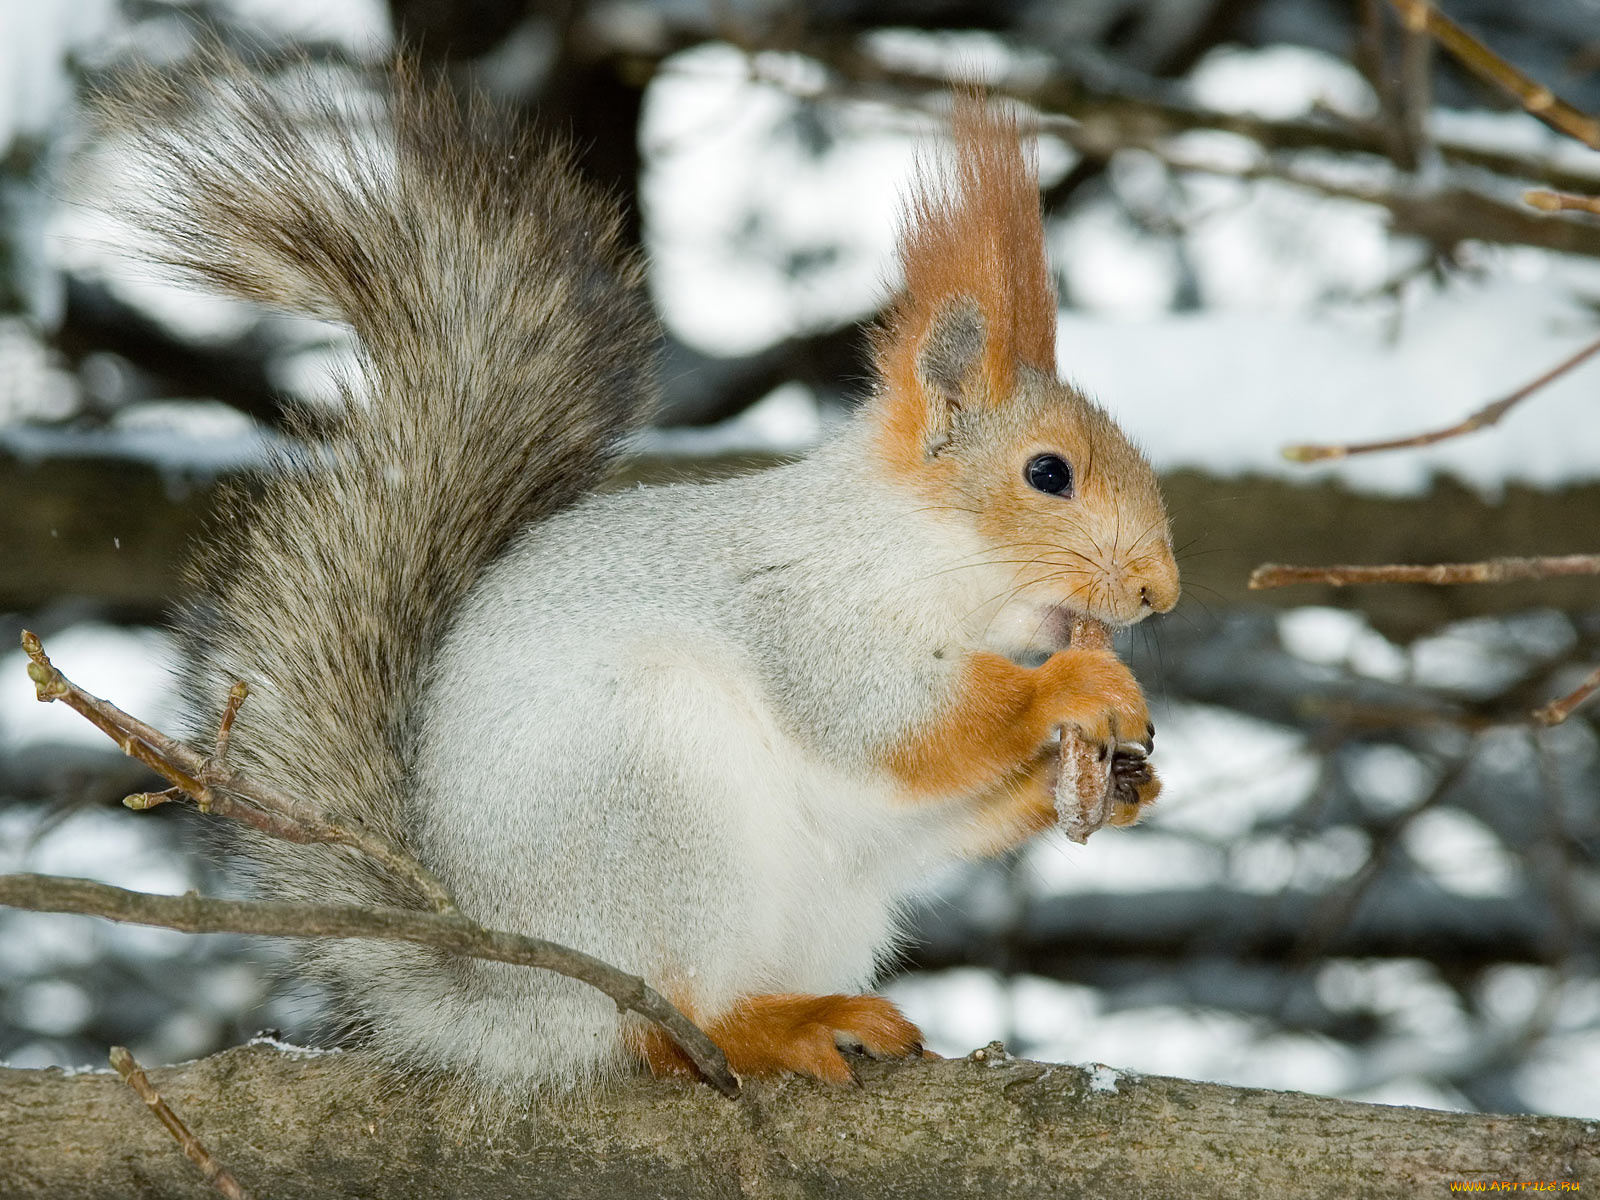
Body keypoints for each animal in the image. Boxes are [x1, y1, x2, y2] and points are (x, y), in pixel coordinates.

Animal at [100, 56, 1177, 1094]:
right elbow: (892, 720)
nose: (1159, 591)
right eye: (1048, 473)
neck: (914, 547)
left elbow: (924, 813)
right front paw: (1075, 687)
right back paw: (767, 1029)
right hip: (651, 794)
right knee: (662, 1026)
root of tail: (508, 1002)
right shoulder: (804, 613)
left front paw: (1114, 782)